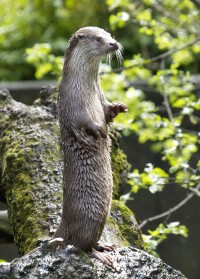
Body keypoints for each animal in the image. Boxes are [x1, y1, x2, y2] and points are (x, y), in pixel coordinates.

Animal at [53, 27, 126, 266]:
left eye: (110, 34)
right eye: (98, 38)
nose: (114, 44)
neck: (84, 88)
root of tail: (64, 222)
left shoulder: (101, 98)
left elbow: (107, 111)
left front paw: (119, 107)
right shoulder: (72, 104)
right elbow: (84, 122)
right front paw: (101, 132)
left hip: (101, 216)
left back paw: (104, 246)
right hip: (88, 217)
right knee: (80, 245)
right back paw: (100, 255)